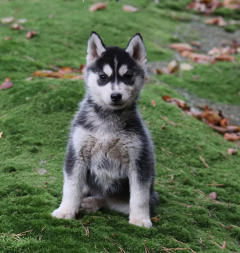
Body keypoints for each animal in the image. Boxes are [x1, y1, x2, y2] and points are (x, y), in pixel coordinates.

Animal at [51, 32, 158, 229]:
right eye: (103, 76)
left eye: (128, 75)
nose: (116, 96)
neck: (109, 118)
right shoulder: (77, 153)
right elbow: (71, 187)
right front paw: (65, 211)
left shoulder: (139, 159)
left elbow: (139, 197)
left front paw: (140, 220)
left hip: (143, 196)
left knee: (110, 201)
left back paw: (92, 203)